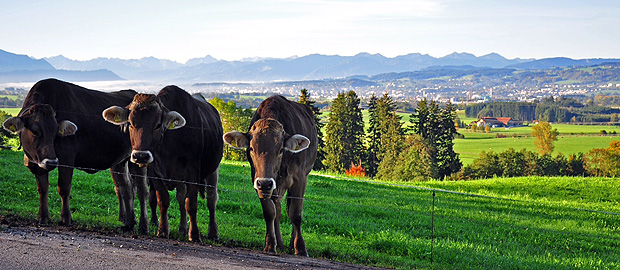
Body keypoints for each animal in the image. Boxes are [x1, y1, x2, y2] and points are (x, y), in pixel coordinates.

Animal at [1, 77, 149, 232]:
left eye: (55, 132)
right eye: (35, 131)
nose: (51, 162)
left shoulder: (67, 157)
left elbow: (64, 188)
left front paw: (66, 218)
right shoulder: (38, 165)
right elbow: (42, 189)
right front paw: (43, 217)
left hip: (138, 158)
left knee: (142, 191)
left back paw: (143, 226)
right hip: (121, 161)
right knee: (126, 188)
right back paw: (129, 223)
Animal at [103, 85, 224, 242]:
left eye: (158, 125)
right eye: (130, 123)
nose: (140, 156)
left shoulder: (193, 172)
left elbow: (191, 203)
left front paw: (194, 234)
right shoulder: (154, 172)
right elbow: (163, 200)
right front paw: (163, 230)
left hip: (213, 169)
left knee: (211, 199)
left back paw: (213, 232)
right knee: (181, 197)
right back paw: (182, 229)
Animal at [223, 95, 318, 255]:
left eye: (280, 150)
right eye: (251, 148)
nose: (266, 183)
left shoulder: (300, 178)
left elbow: (296, 214)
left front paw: (300, 247)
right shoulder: (257, 179)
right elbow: (270, 213)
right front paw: (270, 244)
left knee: (290, 209)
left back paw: (292, 243)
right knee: (278, 210)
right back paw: (279, 243)